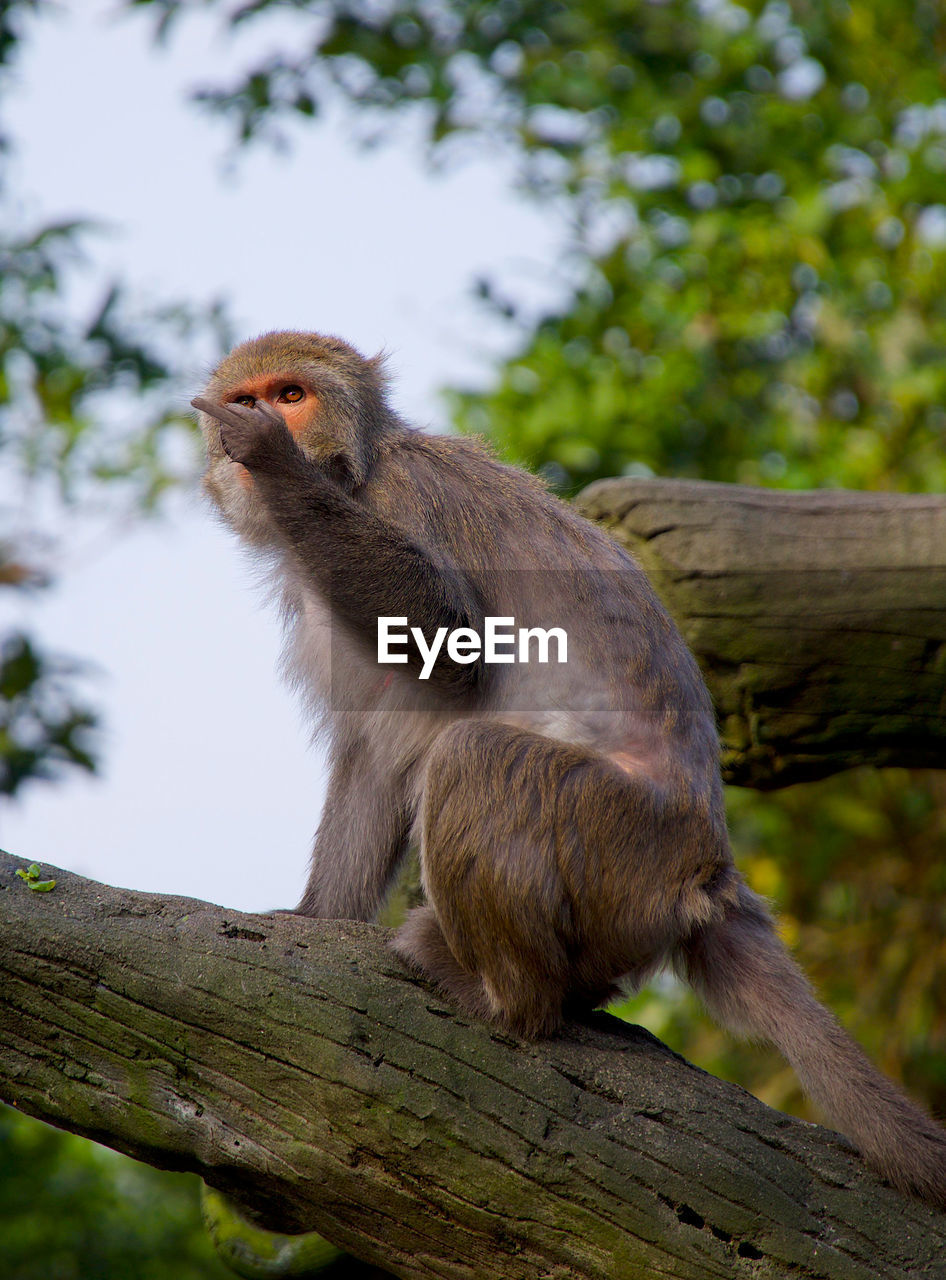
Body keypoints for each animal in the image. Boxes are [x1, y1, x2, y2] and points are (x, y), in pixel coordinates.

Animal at [192, 330, 946, 1208]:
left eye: (289, 396)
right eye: (244, 395)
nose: (248, 430)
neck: (354, 471)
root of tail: (710, 872)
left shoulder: (407, 501)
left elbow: (447, 639)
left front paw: (278, 465)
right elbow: (374, 762)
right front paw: (312, 920)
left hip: (618, 839)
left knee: (474, 758)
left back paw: (503, 999)